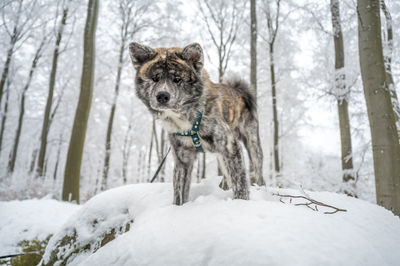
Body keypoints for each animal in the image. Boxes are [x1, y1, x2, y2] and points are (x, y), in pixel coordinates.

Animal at [130, 42, 264, 205]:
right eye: (155, 78)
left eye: (177, 79)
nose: (162, 96)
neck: (184, 119)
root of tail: (238, 90)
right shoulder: (182, 159)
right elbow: (179, 192)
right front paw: (177, 208)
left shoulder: (230, 146)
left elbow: (240, 183)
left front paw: (241, 202)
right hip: (221, 156)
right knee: (227, 174)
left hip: (252, 144)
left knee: (257, 169)